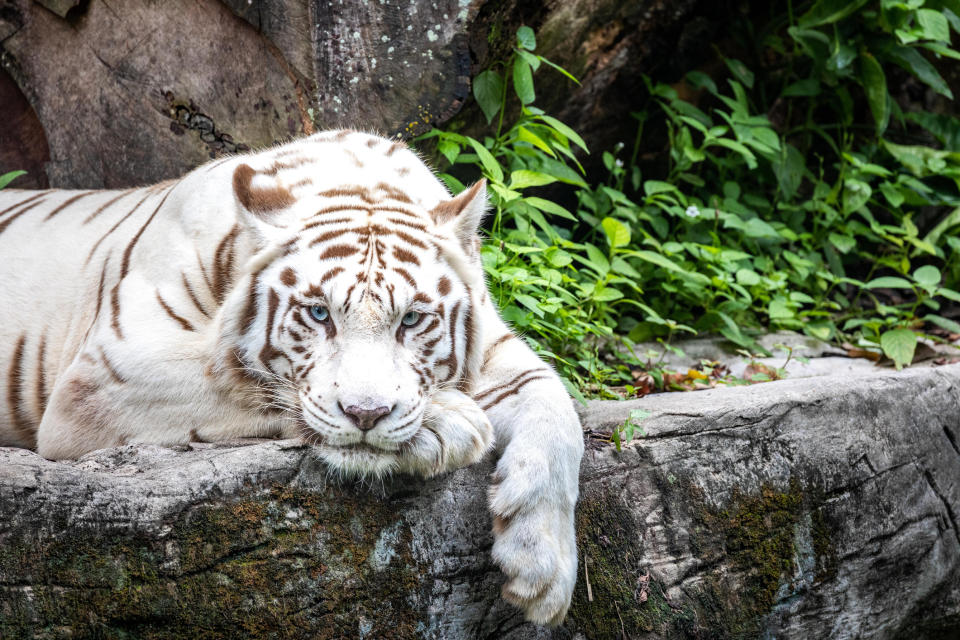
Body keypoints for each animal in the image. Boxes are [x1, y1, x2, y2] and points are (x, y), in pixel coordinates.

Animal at [0, 130, 584, 624]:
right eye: (319, 314)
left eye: (412, 319)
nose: (367, 415)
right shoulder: (105, 370)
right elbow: (246, 381)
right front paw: (447, 426)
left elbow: (556, 407)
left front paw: (543, 566)